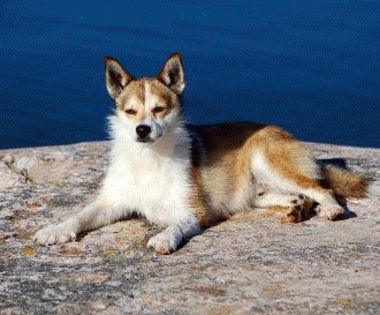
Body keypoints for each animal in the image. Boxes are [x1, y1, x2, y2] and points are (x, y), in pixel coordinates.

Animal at [33, 51, 368, 254]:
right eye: (130, 111)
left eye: (159, 109)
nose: (142, 130)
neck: (149, 159)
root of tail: (282, 131)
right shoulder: (112, 202)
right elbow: (80, 215)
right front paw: (56, 229)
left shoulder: (194, 212)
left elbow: (176, 224)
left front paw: (164, 237)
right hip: (256, 192)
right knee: (298, 195)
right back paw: (297, 208)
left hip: (267, 162)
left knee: (322, 188)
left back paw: (331, 210)